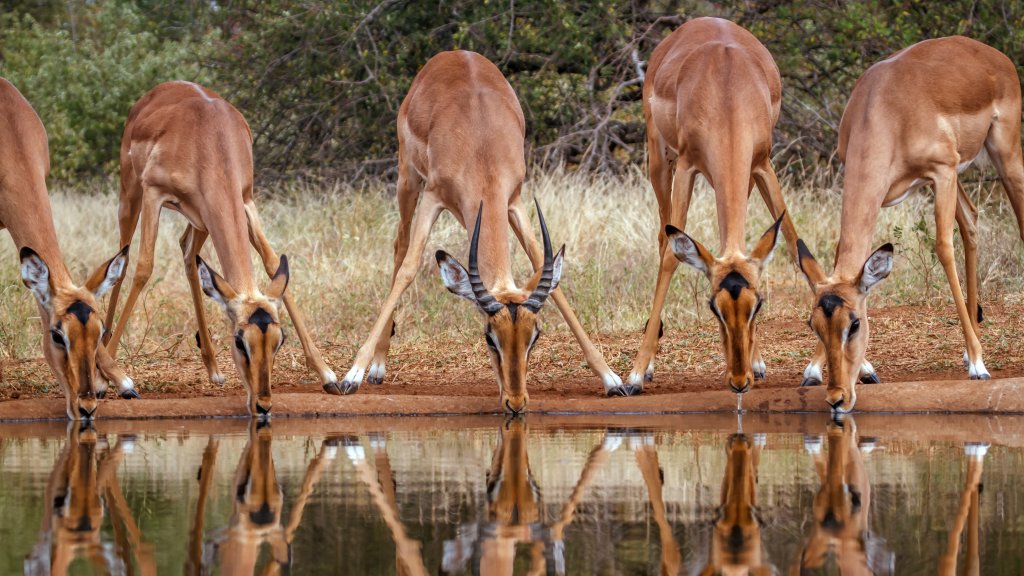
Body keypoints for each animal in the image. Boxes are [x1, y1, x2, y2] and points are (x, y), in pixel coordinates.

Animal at [103, 81, 337, 417]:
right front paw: (117, 380)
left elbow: (271, 262)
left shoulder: (245, 201)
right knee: (123, 260)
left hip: (201, 219)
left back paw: (213, 368)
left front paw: (329, 375)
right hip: (131, 195)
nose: (263, 403)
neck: (209, 140)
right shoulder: (154, 194)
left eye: (279, 340)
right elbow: (144, 267)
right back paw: (105, 356)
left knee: (188, 254)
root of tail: (158, 91)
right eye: (240, 341)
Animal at [335, 50, 628, 412]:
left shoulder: (514, 201)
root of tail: (454, 53)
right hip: (407, 178)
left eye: (535, 336)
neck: (481, 143)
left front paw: (612, 378)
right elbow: (409, 269)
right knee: (399, 249)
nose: (516, 402)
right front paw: (351, 375)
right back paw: (376, 366)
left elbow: (544, 269)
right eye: (489, 337)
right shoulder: (433, 197)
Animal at [631, 17, 799, 396]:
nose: (739, 381)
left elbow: (793, 240)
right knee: (663, 240)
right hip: (659, 161)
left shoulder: (761, 165)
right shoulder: (686, 166)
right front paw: (634, 374)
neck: (727, 92)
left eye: (757, 305)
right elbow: (671, 257)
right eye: (714, 308)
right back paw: (647, 366)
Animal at [797, 36, 1024, 412]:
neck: (885, 109)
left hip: (1001, 154)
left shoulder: (941, 171)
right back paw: (969, 348)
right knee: (972, 220)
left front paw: (979, 366)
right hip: (956, 179)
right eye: (813, 324)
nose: (837, 397)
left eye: (855, 324)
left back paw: (975, 356)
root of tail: (993, 54)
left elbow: (943, 248)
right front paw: (815, 370)